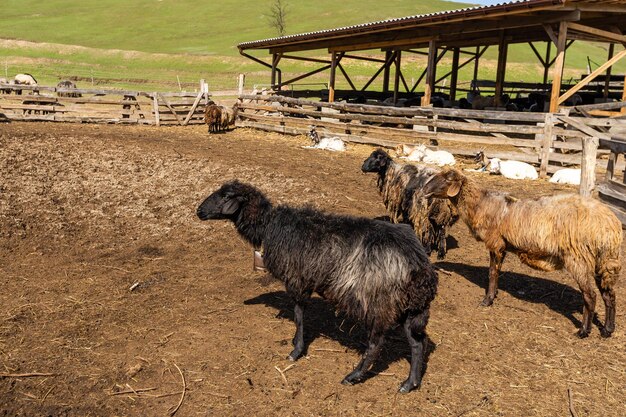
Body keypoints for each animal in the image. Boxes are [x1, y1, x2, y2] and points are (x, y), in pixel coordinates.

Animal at [197, 180, 436, 392]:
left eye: (226, 196)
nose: (199, 211)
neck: (268, 225)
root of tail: (420, 268)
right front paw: (295, 342)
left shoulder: (297, 280)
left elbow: (299, 316)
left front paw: (296, 350)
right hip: (410, 308)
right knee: (417, 343)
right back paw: (410, 384)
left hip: (377, 303)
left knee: (375, 345)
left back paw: (353, 376)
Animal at [420, 167, 620, 336]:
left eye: (447, 179)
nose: (424, 189)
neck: (480, 204)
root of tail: (610, 225)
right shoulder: (502, 246)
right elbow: (497, 272)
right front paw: (493, 295)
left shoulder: (495, 243)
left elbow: (492, 273)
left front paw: (487, 300)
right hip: (605, 260)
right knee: (609, 294)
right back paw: (607, 329)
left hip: (578, 257)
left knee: (590, 295)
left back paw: (584, 331)